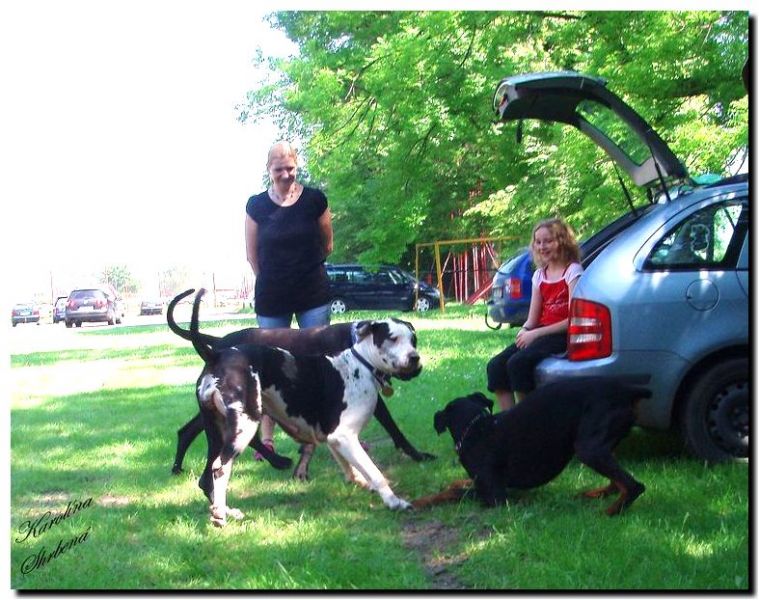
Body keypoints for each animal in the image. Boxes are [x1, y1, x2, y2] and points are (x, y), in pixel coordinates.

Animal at [187, 288, 423, 526]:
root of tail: (216, 354)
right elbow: (374, 472)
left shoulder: (334, 439)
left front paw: (363, 483)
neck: (362, 364)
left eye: (414, 340)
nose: (415, 358)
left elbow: (352, 469)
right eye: (393, 338)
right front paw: (394, 501)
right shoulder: (345, 435)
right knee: (219, 469)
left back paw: (225, 510)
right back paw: (220, 513)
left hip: (216, 433)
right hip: (242, 429)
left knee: (207, 478)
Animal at [414, 378, 649, 515]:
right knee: (617, 482)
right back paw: (593, 495)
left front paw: (419, 501)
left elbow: (454, 493)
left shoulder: (495, 496)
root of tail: (627, 390)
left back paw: (605, 513)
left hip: (588, 448)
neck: (476, 428)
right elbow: (458, 484)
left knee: (633, 486)